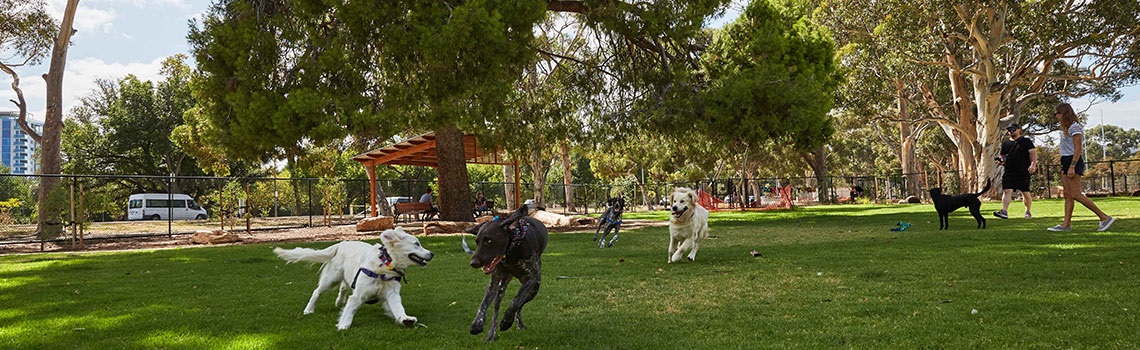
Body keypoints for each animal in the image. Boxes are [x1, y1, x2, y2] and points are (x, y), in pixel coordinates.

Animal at [273, 229, 433, 330]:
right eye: (416, 244)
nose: (432, 254)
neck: (385, 265)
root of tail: (341, 243)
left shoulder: (392, 294)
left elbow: (398, 308)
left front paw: (405, 319)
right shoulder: (358, 295)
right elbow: (350, 309)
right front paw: (343, 325)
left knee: (343, 287)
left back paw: (339, 301)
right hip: (331, 278)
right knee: (317, 292)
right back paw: (309, 309)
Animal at [465, 205, 549, 342]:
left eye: (489, 240)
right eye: (477, 241)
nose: (473, 263)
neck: (512, 249)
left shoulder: (532, 277)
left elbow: (515, 301)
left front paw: (506, 321)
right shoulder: (494, 281)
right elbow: (483, 304)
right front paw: (477, 323)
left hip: (533, 288)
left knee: (520, 305)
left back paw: (517, 323)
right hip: (501, 287)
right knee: (496, 308)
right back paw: (491, 335)